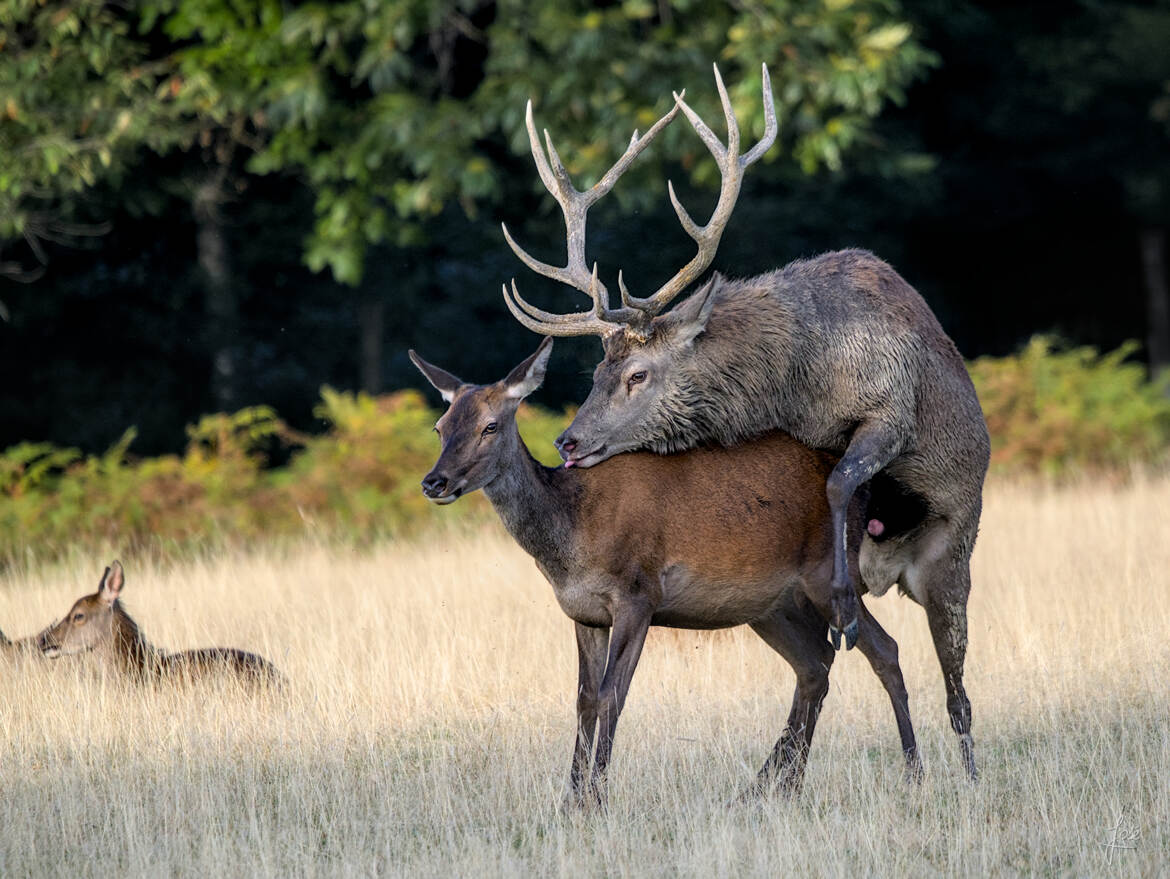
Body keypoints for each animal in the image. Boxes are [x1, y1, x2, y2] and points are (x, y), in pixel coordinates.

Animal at [409, 339, 912, 809]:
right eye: (440, 427)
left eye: (490, 426)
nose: (434, 482)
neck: (572, 536)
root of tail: (864, 490)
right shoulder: (583, 612)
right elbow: (583, 699)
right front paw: (570, 800)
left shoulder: (638, 595)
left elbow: (612, 695)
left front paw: (597, 799)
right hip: (770, 605)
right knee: (816, 664)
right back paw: (773, 787)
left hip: (828, 575)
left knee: (884, 650)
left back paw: (914, 771)